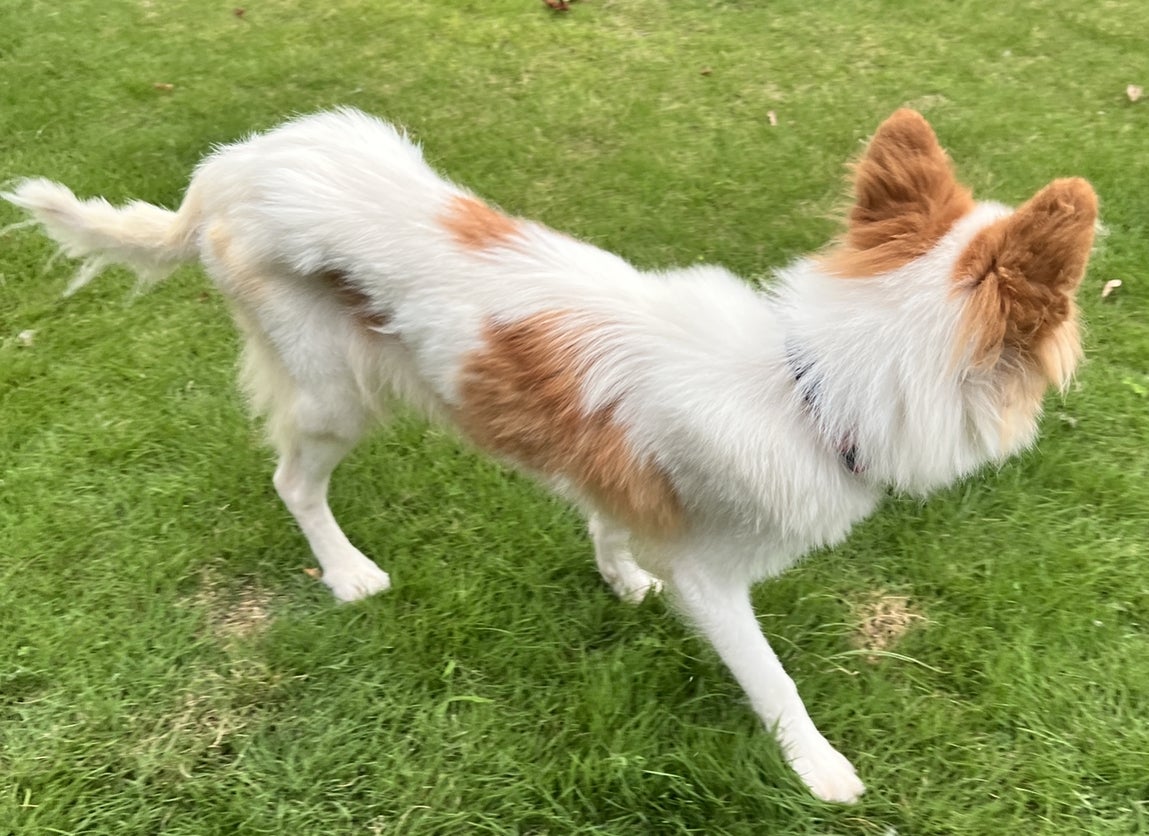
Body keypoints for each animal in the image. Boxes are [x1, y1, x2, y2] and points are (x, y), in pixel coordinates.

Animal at [2, 108, 1097, 803]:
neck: (810, 381)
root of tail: (226, 172)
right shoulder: (715, 581)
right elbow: (772, 677)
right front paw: (820, 769)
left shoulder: (613, 470)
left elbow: (606, 516)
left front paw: (618, 576)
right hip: (332, 391)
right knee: (292, 480)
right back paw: (347, 572)